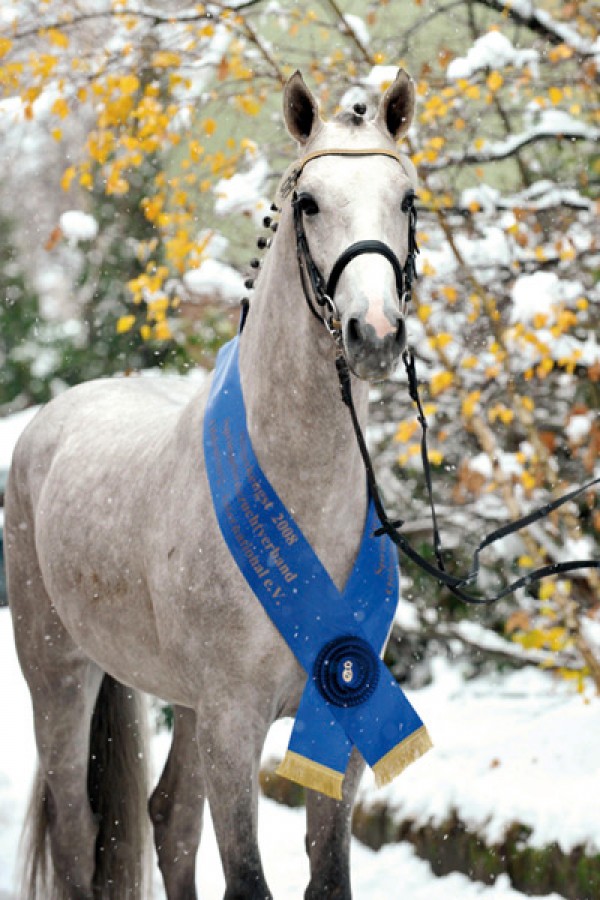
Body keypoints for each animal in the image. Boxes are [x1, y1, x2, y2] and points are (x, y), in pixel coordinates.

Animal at [4, 70, 418, 900]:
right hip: (60, 679)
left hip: (184, 708)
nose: (376, 333)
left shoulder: (343, 726)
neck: (300, 495)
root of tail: (53, 418)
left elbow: (325, 874)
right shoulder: (233, 724)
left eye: (406, 199)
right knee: (78, 831)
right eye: (309, 202)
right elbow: (247, 878)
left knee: (168, 822)